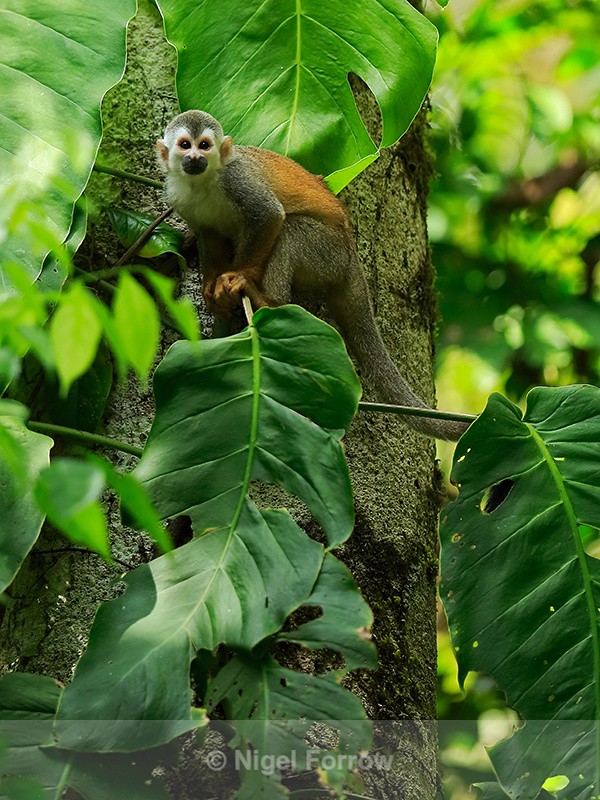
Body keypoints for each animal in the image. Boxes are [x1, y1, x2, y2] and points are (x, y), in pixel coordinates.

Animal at [156, 110, 469, 441]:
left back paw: (268, 300)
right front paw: (211, 286)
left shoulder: (236, 179)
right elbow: (208, 235)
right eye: (185, 145)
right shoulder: (179, 199)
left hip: (328, 255)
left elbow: (269, 215)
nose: (194, 158)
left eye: (204, 145)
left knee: (291, 231)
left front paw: (237, 276)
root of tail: (351, 256)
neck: (201, 183)